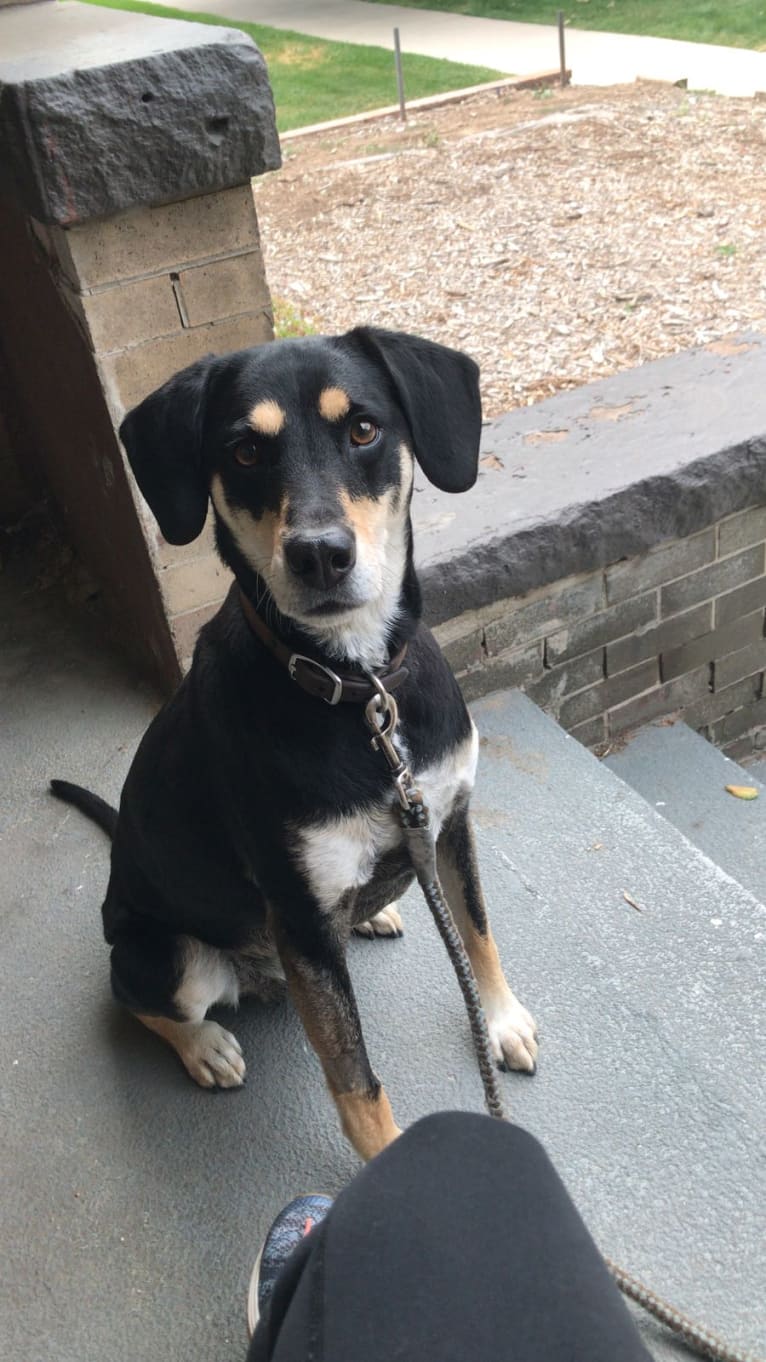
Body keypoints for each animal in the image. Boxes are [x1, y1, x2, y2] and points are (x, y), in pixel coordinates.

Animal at [52, 329, 537, 1160]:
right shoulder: (303, 922)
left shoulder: (449, 821)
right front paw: (387, 1161)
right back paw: (204, 1047)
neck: (359, 690)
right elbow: (355, 1080)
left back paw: (371, 912)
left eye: (364, 429)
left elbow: (479, 930)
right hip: (173, 957)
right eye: (245, 450)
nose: (319, 555)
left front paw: (500, 1021)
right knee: (136, 999)